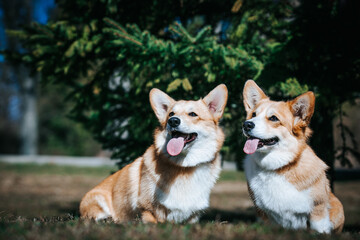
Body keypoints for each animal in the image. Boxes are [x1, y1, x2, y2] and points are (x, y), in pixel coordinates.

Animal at [81, 84, 228, 223]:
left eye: (192, 114)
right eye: (171, 114)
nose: (173, 121)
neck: (184, 167)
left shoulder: (193, 216)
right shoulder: (146, 210)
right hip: (96, 199)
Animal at [242, 80, 344, 232]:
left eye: (273, 118)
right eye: (253, 114)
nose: (246, 124)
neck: (278, 167)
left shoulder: (318, 211)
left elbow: (318, 229)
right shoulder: (263, 214)